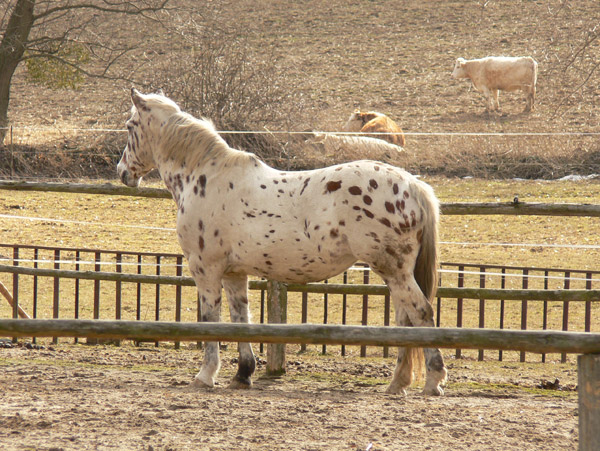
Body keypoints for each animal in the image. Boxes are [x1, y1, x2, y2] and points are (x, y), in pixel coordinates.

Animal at [117, 89, 448, 396]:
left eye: (130, 125)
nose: (122, 172)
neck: (205, 178)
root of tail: (413, 185)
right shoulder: (234, 274)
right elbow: (240, 319)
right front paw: (243, 374)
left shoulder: (206, 270)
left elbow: (211, 320)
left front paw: (205, 375)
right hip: (396, 273)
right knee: (406, 320)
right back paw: (398, 382)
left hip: (394, 270)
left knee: (421, 312)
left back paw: (433, 380)